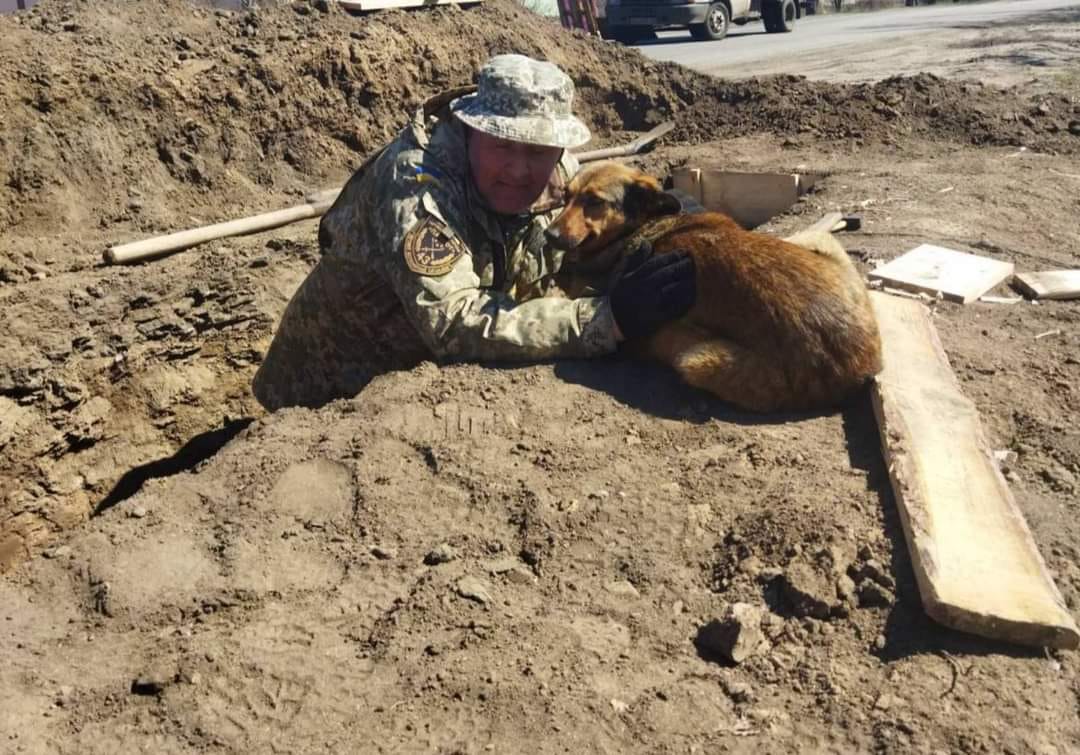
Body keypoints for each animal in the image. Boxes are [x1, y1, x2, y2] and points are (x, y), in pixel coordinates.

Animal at [544, 159, 881, 412]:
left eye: (594, 202)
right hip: (819, 241)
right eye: (565, 197)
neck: (640, 226)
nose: (549, 235)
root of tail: (861, 362)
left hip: (692, 357)